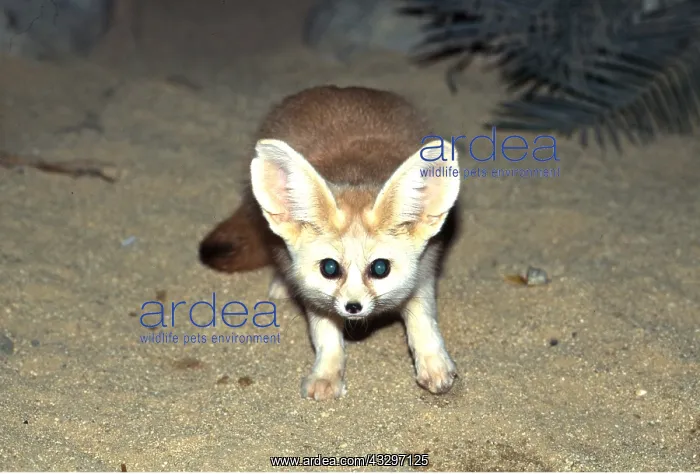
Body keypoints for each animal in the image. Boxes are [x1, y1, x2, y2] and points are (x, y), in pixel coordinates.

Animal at [198, 85, 461, 401]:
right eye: (330, 269)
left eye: (380, 268)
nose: (353, 307)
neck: (357, 173)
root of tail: (340, 89)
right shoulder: (316, 297)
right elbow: (326, 337)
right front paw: (326, 375)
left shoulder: (424, 272)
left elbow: (423, 323)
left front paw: (434, 365)